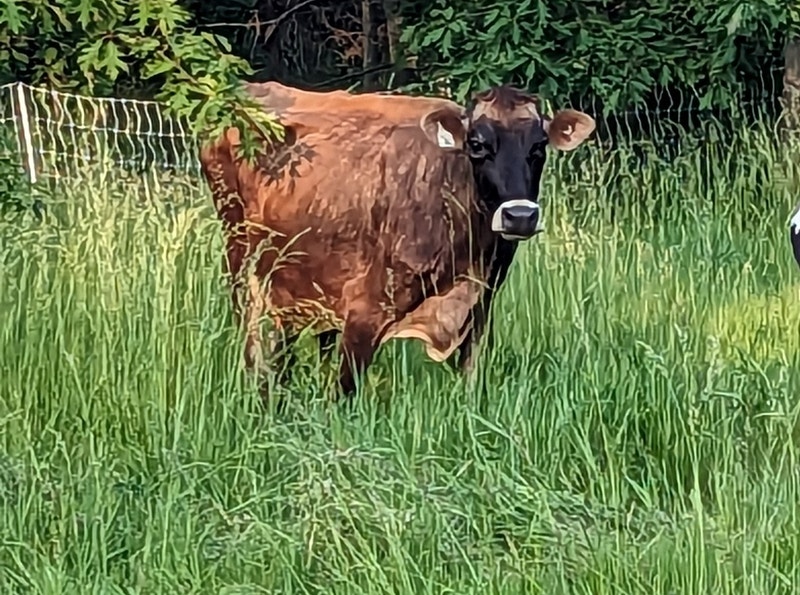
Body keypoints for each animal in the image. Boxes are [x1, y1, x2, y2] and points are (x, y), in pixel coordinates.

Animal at [199, 83, 595, 396]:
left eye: (539, 146)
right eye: (478, 144)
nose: (520, 216)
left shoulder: (479, 313)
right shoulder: (364, 311)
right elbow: (344, 392)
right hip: (241, 263)